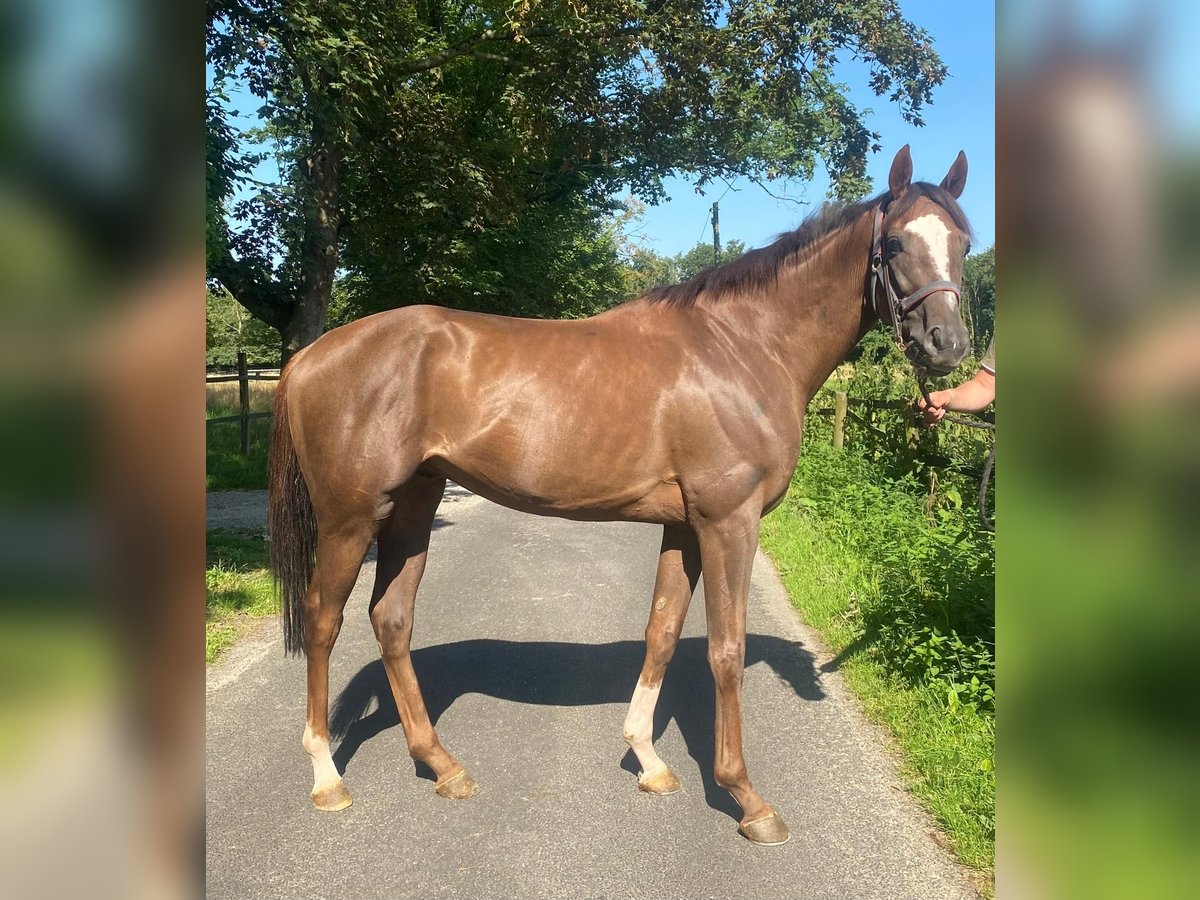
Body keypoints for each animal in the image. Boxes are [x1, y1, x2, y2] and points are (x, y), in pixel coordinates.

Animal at [267, 146, 969, 844]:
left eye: (963, 241)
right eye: (897, 242)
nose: (948, 344)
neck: (743, 348)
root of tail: (308, 358)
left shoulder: (685, 526)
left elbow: (662, 631)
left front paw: (650, 761)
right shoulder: (728, 522)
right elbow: (726, 650)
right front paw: (746, 798)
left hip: (414, 504)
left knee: (390, 619)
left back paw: (441, 764)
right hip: (350, 519)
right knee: (323, 620)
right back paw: (327, 777)